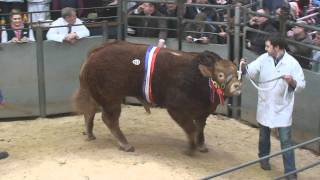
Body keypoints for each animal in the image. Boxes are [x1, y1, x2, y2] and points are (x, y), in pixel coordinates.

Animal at [73, 40, 242, 155]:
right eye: (220, 74)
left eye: (236, 72)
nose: (237, 85)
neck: (199, 77)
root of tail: (96, 52)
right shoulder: (176, 109)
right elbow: (191, 129)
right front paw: (191, 148)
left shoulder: (202, 112)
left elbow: (200, 128)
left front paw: (200, 145)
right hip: (111, 99)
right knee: (109, 120)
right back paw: (125, 144)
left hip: (97, 95)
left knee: (90, 112)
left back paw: (90, 134)